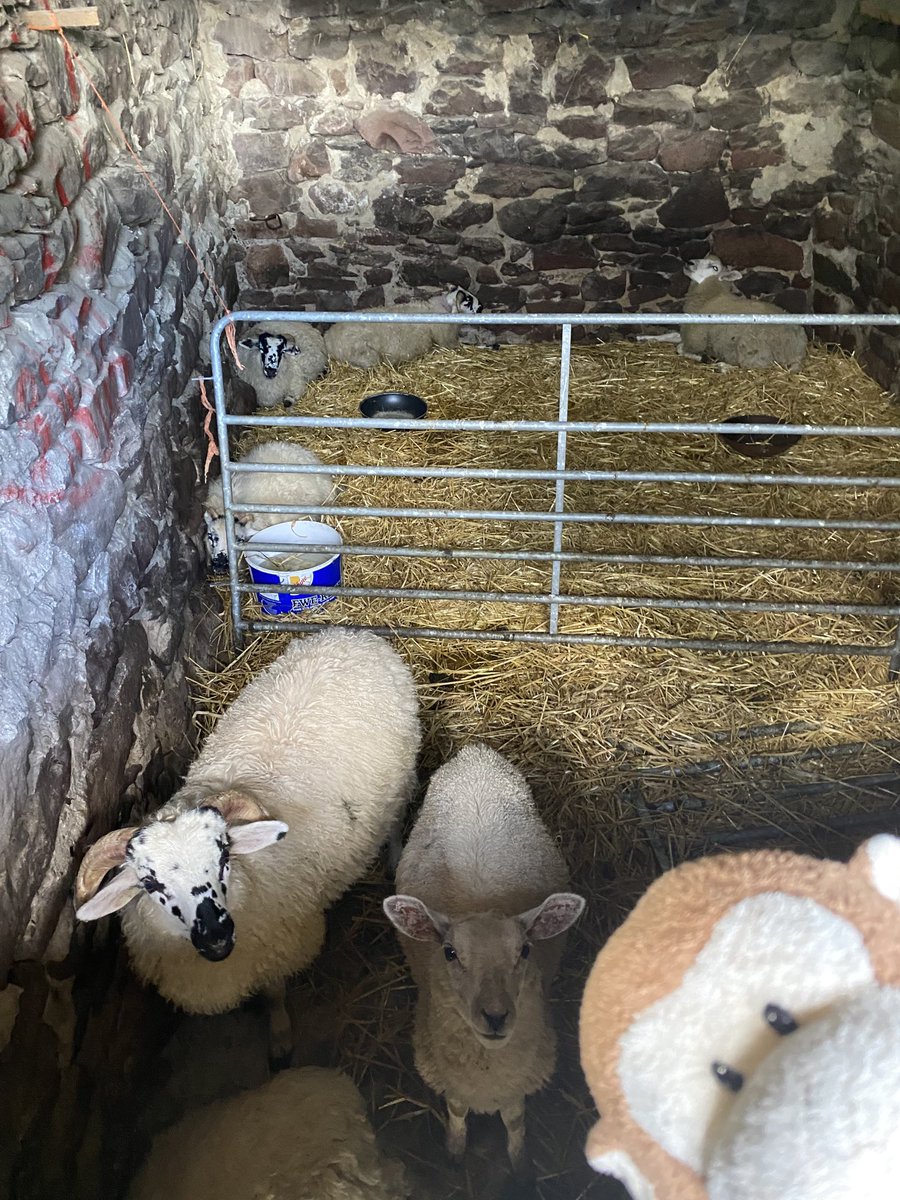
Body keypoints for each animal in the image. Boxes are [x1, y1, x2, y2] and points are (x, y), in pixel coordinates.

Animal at [75, 629, 421, 1064]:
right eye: (149, 883)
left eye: (223, 855)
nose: (216, 935)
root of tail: (354, 635)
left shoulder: (278, 947)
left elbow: (274, 995)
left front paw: (280, 1039)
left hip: (401, 778)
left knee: (394, 821)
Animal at [383, 743, 585, 1178]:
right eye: (450, 952)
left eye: (524, 950)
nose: (495, 1016)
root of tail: (474, 753)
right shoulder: (451, 1077)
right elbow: (457, 1111)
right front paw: (455, 1150)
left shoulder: (519, 1078)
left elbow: (515, 1119)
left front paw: (519, 1162)